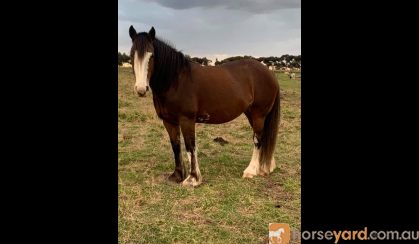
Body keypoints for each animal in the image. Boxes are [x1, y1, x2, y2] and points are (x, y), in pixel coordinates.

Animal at [130, 26, 280, 187]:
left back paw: (251, 171)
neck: (176, 80)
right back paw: (265, 167)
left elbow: (190, 147)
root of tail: (269, 72)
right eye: (132, 54)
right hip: (252, 114)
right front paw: (177, 175)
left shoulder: (187, 120)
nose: (141, 89)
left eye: (151, 55)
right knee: (264, 138)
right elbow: (175, 146)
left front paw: (192, 179)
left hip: (258, 115)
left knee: (258, 139)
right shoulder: (168, 121)